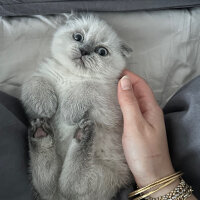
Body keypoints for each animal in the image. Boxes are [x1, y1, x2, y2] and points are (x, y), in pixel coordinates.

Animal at [20, 14, 133, 200]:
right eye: (78, 37)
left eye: (102, 52)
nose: (84, 50)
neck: (72, 76)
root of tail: (59, 197)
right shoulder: (43, 76)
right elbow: (35, 80)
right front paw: (47, 106)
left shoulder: (110, 109)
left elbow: (87, 86)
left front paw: (68, 110)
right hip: (55, 177)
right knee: (48, 184)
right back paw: (41, 134)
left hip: (100, 174)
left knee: (71, 185)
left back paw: (83, 134)